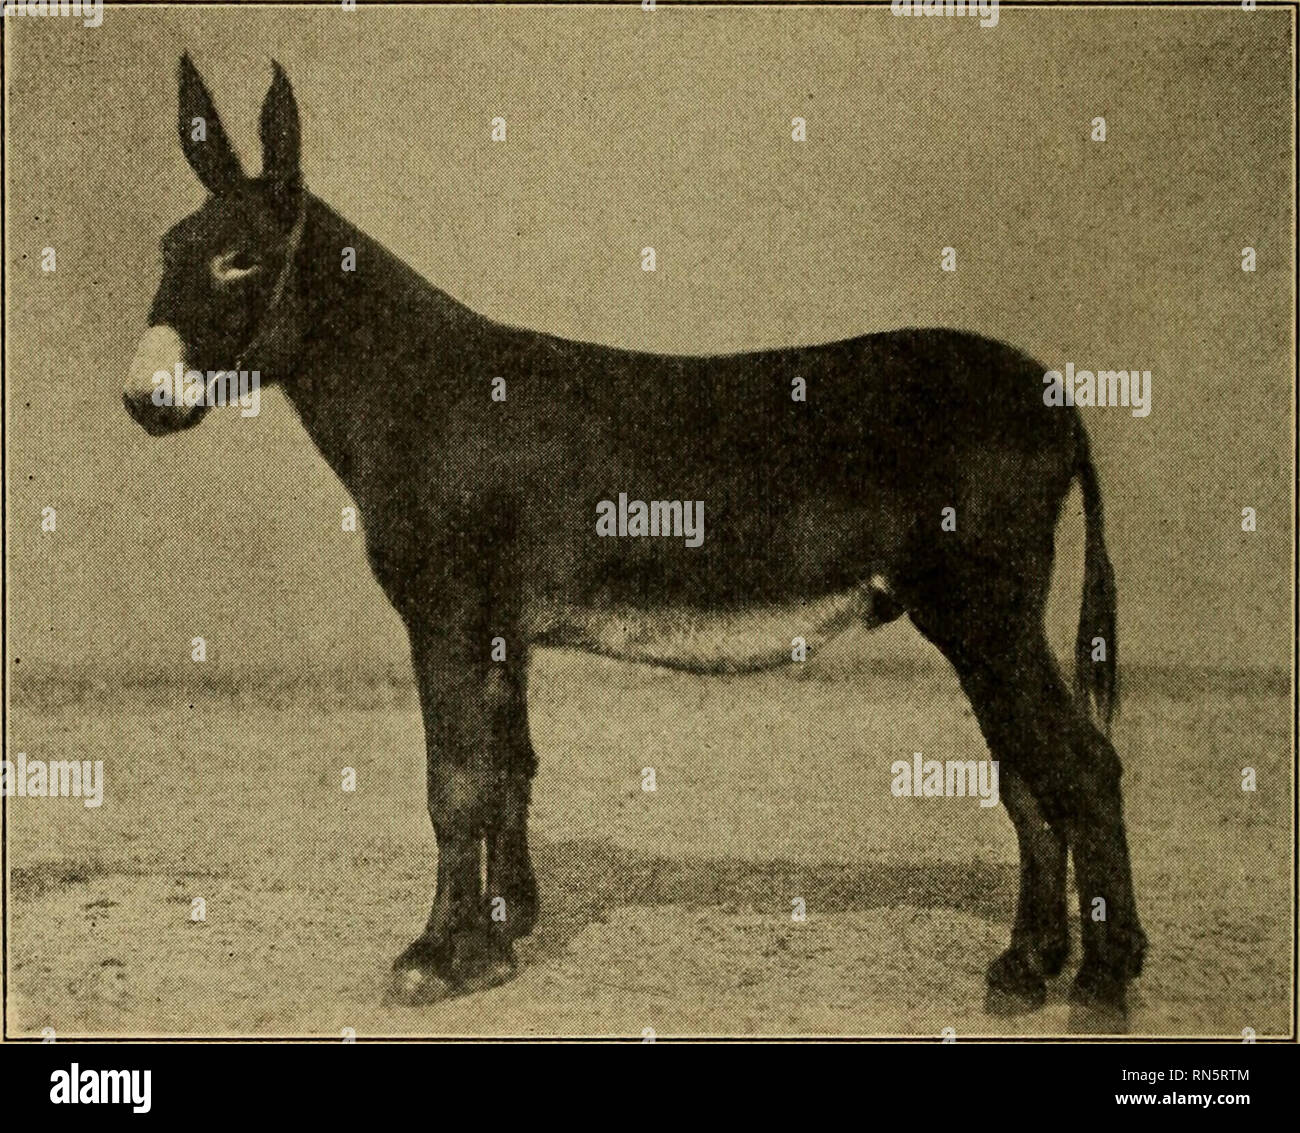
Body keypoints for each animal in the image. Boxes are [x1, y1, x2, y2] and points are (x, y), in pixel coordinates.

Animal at [123, 55, 1145, 1030]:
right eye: (169, 250)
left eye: (240, 262)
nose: (140, 400)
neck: (422, 390)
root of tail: (1058, 397)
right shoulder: (500, 627)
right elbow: (509, 770)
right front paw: (500, 940)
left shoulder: (448, 614)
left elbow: (455, 783)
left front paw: (432, 960)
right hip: (984, 618)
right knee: (1030, 777)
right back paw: (1025, 967)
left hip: (981, 608)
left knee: (1082, 767)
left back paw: (1102, 980)